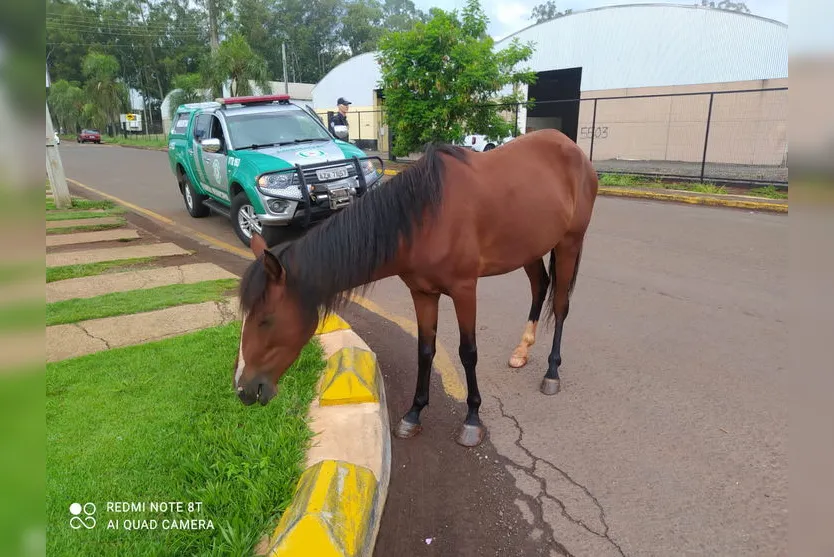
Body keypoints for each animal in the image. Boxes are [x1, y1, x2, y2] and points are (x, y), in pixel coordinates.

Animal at [236, 127, 600, 448]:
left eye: (266, 320)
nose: (244, 389)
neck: (424, 219)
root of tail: (571, 147)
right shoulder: (423, 294)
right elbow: (425, 350)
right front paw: (414, 413)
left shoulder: (465, 291)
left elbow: (468, 353)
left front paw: (472, 419)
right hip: (530, 247)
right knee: (540, 287)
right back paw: (522, 351)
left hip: (569, 243)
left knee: (561, 305)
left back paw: (552, 372)